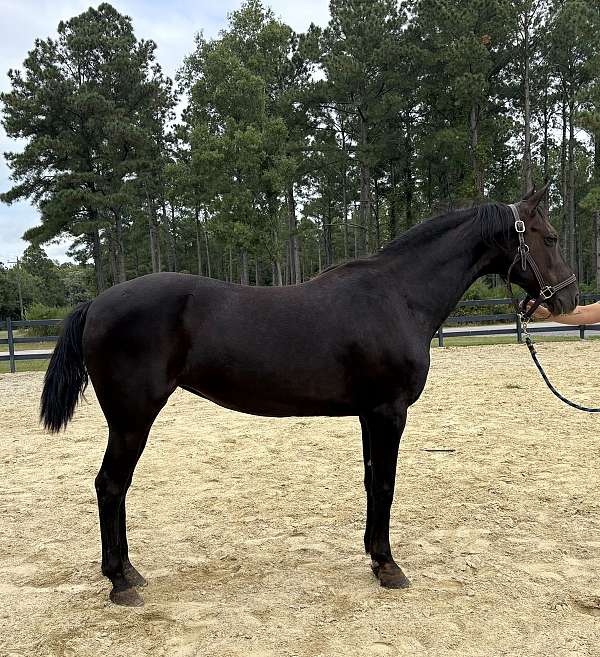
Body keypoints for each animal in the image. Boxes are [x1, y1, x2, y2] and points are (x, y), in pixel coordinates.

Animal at [40, 184, 578, 606]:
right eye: (550, 237)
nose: (569, 299)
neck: (398, 296)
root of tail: (96, 302)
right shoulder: (389, 412)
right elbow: (386, 484)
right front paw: (389, 567)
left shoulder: (369, 415)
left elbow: (371, 483)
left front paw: (375, 557)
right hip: (132, 417)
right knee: (111, 486)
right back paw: (119, 582)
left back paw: (130, 573)